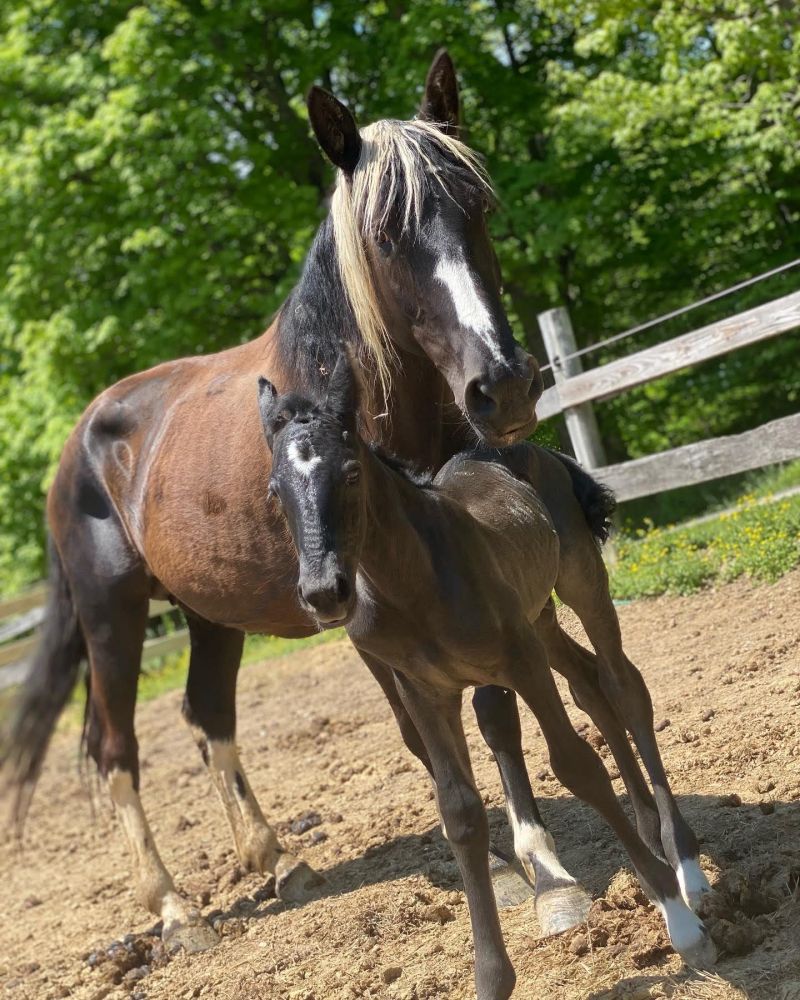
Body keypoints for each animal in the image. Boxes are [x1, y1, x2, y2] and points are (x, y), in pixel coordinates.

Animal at [0, 52, 567, 951]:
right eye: (384, 234)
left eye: (480, 207)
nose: (503, 385)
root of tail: (80, 441)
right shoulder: (375, 617)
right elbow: (422, 735)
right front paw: (506, 872)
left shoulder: (472, 581)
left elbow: (494, 708)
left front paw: (538, 855)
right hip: (110, 614)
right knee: (113, 748)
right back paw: (176, 910)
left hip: (206, 613)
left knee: (207, 717)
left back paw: (276, 860)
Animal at [257, 351, 717, 1000]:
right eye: (276, 492)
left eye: (349, 473)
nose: (324, 593)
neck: (414, 582)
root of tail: (534, 449)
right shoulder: (423, 691)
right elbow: (461, 816)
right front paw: (492, 977)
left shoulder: (517, 659)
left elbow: (577, 767)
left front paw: (682, 924)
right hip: (539, 616)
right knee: (588, 682)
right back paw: (650, 832)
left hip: (577, 584)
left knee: (623, 686)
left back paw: (685, 867)